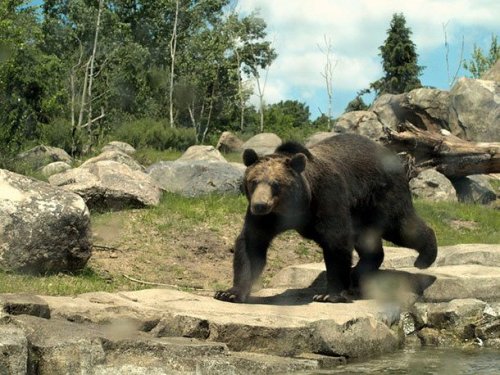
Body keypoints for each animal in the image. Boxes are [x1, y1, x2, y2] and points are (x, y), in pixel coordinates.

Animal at [215, 134, 438, 304]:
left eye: (276, 183)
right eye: (253, 181)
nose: (260, 205)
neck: (295, 207)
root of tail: (392, 156)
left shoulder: (327, 198)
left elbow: (336, 241)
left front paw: (329, 294)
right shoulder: (267, 219)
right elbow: (251, 245)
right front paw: (229, 292)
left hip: (381, 196)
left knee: (401, 225)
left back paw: (425, 258)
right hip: (360, 213)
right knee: (369, 242)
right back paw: (358, 274)